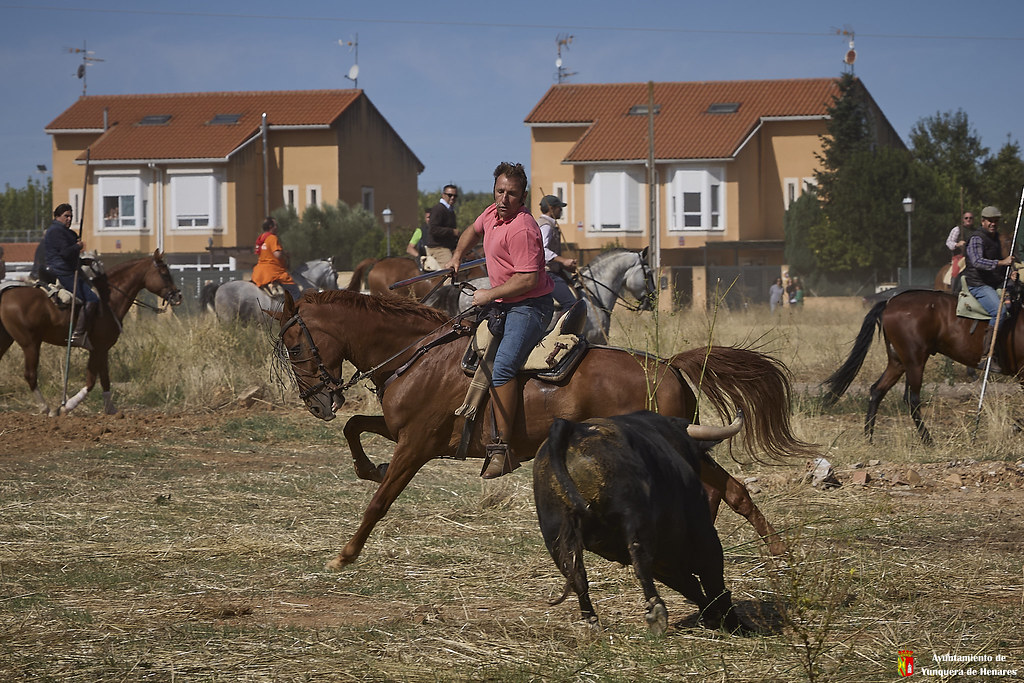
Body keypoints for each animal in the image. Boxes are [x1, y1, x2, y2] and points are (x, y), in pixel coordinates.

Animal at [0, 248, 182, 413]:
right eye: (164, 273)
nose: (178, 296)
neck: (109, 298)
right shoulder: (98, 348)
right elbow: (92, 381)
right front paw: (67, 406)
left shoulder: (102, 349)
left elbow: (105, 379)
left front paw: (110, 409)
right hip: (30, 343)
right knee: (30, 375)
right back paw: (47, 408)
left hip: (7, 340)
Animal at [270, 290, 815, 569]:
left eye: (294, 345)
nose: (317, 402)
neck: (420, 356)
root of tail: (669, 367)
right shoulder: (402, 430)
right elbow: (355, 428)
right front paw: (368, 467)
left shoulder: (417, 444)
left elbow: (379, 501)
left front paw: (345, 554)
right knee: (730, 489)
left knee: (725, 489)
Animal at [823, 286, 1024, 444]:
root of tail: (889, 302)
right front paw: (1016, 427)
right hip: (915, 361)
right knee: (911, 399)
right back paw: (928, 440)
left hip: (898, 362)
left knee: (877, 391)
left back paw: (869, 437)